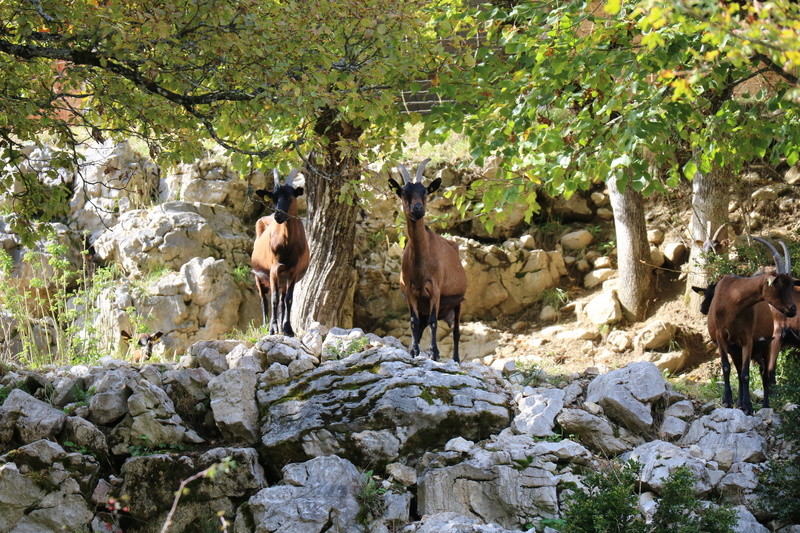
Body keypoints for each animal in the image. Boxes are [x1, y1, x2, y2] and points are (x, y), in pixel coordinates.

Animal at [253, 168, 310, 336]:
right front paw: (272, 329)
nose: (278, 215)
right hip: (259, 277)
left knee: (282, 299)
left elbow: (288, 300)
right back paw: (265, 325)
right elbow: (274, 299)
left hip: (283, 279)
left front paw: (288, 329)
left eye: (290, 196)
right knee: (264, 299)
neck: (287, 246)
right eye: (273, 197)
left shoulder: (293, 271)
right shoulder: (274, 269)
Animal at [390, 156, 468, 360]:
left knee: (456, 332)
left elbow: (434, 322)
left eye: (425, 191)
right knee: (421, 325)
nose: (417, 209)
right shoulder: (410, 291)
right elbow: (413, 321)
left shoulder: (435, 289)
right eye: (403, 193)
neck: (421, 262)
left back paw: (456, 359)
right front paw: (414, 351)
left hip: (458, 302)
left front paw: (435, 353)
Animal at [708, 237, 792, 416]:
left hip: (765, 348)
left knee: (764, 374)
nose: (793, 309)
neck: (733, 299)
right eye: (778, 285)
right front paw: (728, 401)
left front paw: (748, 406)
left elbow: (746, 374)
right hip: (736, 350)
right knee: (740, 371)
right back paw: (740, 402)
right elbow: (727, 368)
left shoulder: (747, 339)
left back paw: (765, 405)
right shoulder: (721, 336)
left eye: (790, 286)